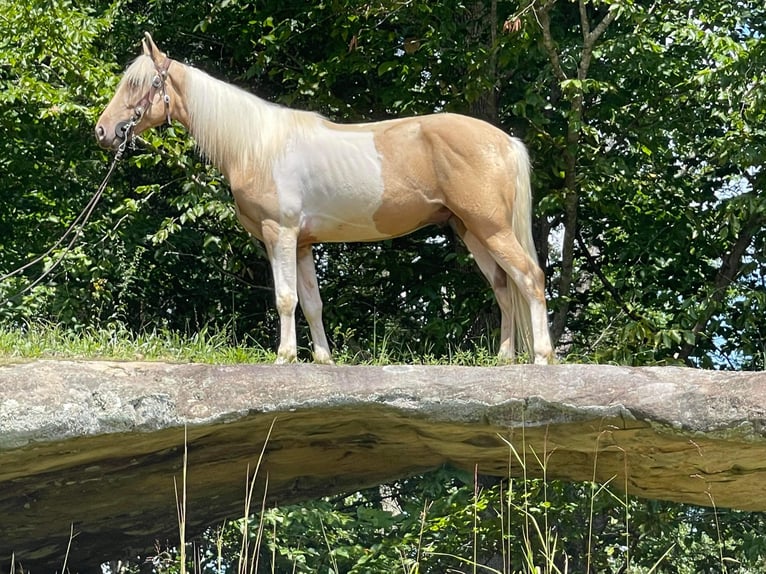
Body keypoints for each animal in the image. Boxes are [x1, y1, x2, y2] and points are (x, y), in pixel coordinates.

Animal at [96, 33, 556, 364]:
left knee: (529, 278)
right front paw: (322, 360)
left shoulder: (279, 234)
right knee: (503, 285)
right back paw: (504, 359)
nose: (103, 131)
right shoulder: (302, 244)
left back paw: (542, 358)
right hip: (472, 231)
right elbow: (313, 303)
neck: (257, 145)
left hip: (491, 229)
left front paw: (284, 358)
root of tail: (506, 141)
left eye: (141, 84)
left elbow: (286, 299)